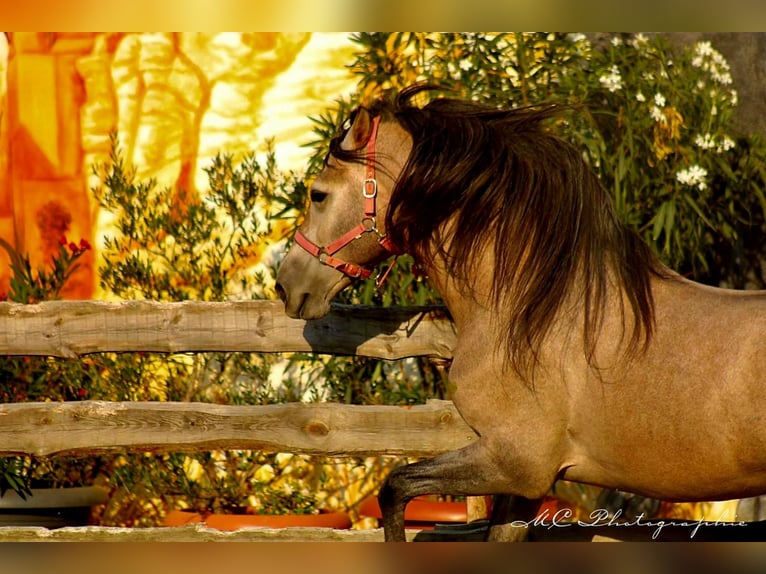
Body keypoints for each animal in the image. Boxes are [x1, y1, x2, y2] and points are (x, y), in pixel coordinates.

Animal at [276, 85, 766, 544]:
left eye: (318, 195)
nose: (286, 284)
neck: (533, 310)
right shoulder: (524, 485)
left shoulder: (516, 463)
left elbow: (395, 487)